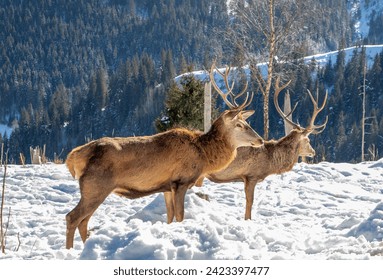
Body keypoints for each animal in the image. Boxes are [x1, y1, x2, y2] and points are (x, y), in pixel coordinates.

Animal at [65, 62, 264, 248]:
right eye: (239, 125)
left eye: (247, 122)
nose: (260, 140)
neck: (204, 155)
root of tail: (74, 156)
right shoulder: (181, 181)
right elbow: (180, 216)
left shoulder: (167, 187)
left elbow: (170, 217)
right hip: (96, 186)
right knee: (72, 217)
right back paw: (70, 251)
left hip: (93, 188)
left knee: (84, 221)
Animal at [182, 77, 328, 221]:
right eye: (308, 140)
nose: (313, 152)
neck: (270, 162)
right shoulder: (251, 175)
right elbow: (249, 202)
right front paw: (248, 219)